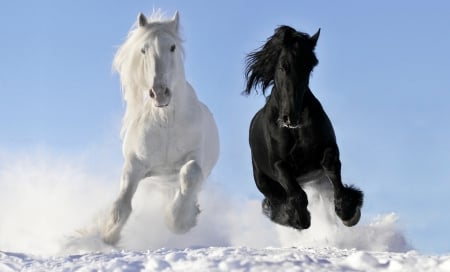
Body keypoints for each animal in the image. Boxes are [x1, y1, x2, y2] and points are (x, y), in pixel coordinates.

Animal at [103, 10, 220, 244]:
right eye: (143, 49)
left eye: (172, 47)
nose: (159, 92)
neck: (165, 121)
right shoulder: (135, 163)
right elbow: (122, 203)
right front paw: (108, 235)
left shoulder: (195, 156)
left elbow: (190, 173)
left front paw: (178, 222)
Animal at [244, 25, 364, 230]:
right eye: (283, 66)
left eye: (309, 67)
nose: (291, 116)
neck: (294, 130)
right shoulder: (278, 165)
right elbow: (296, 193)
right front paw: (299, 218)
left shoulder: (328, 148)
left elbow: (332, 167)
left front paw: (348, 212)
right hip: (264, 181)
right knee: (277, 199)